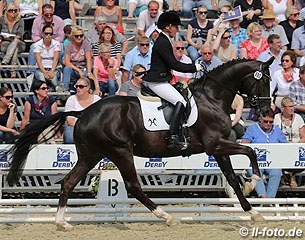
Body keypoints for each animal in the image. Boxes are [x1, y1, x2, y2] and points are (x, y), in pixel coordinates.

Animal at [7, 57, 274, 229]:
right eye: (264, 81)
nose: (266, 111)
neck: (212, 98)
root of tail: (84, 113)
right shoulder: (215, 145)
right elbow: (250, 151)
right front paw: (253, 182)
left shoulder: (218, 149)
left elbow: (233, 178)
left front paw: (253, 211)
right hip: (120, 151)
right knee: (133, 186)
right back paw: (167, 217)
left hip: (91, 155)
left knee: (69, 182)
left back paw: (62, 223)